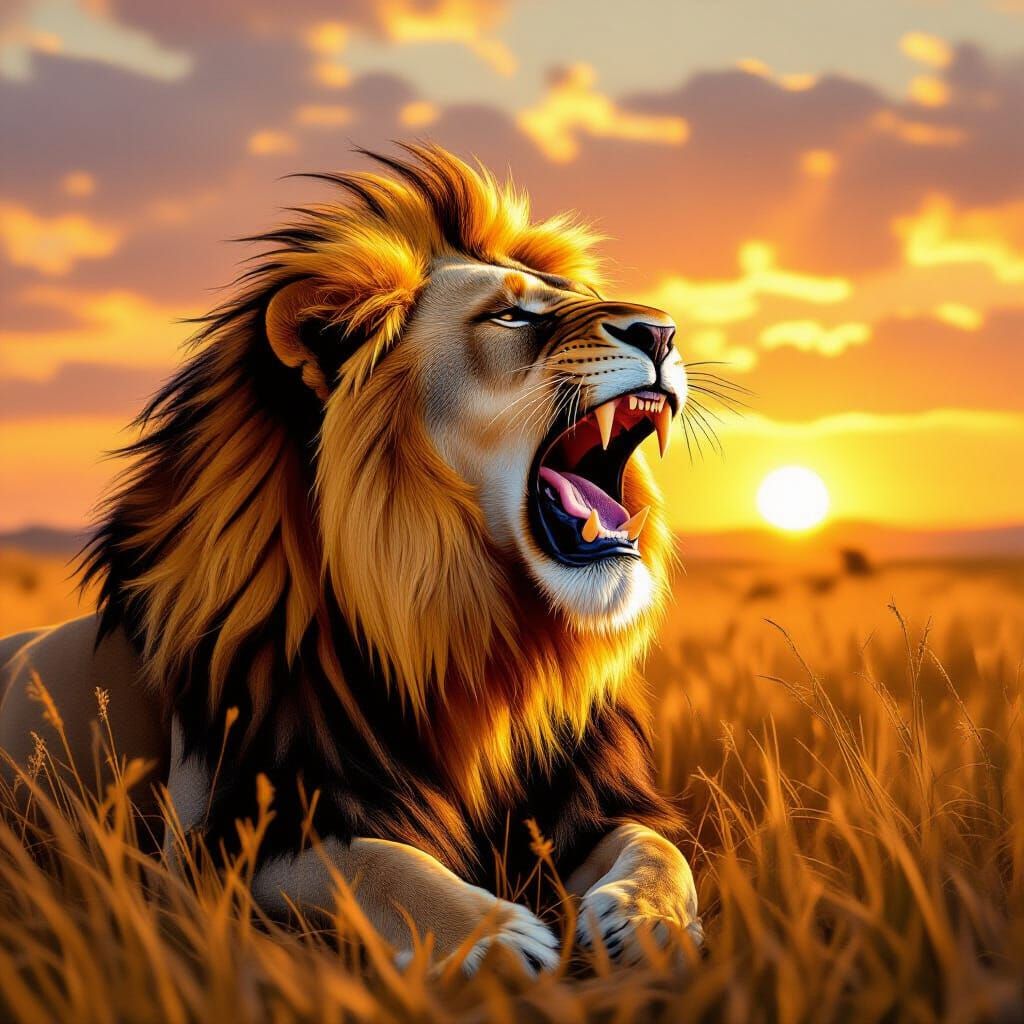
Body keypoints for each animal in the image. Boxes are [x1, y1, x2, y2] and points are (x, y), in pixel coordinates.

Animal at [0, 144, 700, 973]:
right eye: (512, 315)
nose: (662, 331)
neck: (472, 643)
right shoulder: (213, 844)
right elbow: (370, 859)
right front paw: (492, 939)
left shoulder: (584, 799)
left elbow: (657, 846)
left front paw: (644, 916)